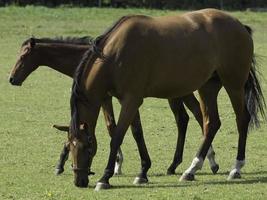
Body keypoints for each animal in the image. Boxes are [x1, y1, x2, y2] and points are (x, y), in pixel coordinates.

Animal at [9, 36, 220, 177]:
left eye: (24, 55)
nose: (12, 79)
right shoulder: (103, 99)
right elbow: (109, 127)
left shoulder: (112, 99)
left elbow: (123, 128)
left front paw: (119, 164)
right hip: (177, 94)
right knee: (188, 118)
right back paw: (188, 163)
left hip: (179, 93)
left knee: (196, 117)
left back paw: (204, 162)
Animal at [68, 8, 266, 190]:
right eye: (69, 146)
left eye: (88, 146)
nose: (79, 181)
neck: (116, 54)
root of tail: (239, 25)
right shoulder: (128, 100)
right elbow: (137, 133)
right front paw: (142, 173)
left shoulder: (131, 100)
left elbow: (117, 137)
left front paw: (105, 177)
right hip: (207, 88)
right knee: (211, 124)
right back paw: (191, 170)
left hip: (234, 85)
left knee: (242, 120)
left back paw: (236, 168)